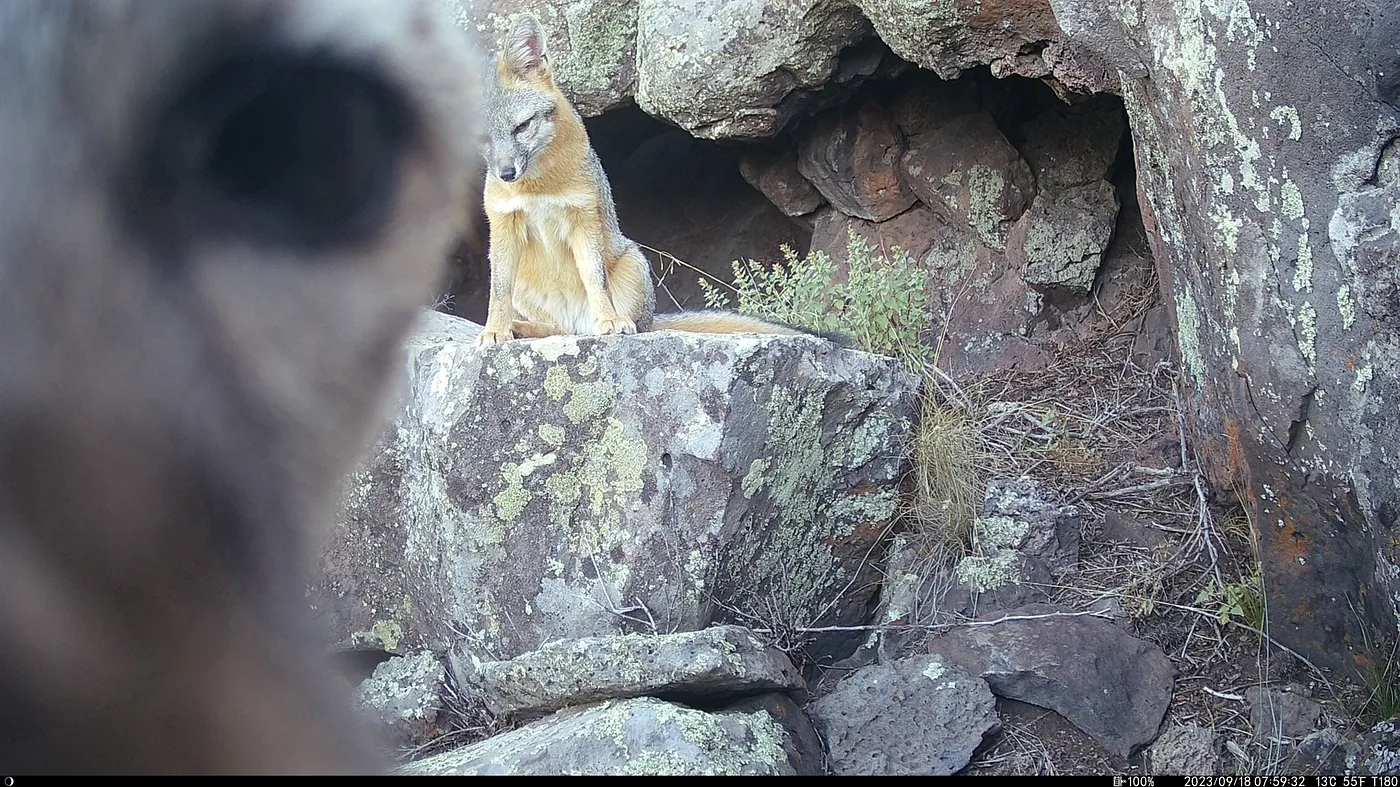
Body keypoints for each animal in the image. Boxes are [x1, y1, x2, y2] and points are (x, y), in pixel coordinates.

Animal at [481, 13, 812, 344]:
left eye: (522, 127)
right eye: (484, 139)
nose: (507, 174)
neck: (538, 188)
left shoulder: (584, 215)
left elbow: (595, 279)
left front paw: (610, 319)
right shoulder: (503, 223)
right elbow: (498, 290)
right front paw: (495, 330)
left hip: (634, 264)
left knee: (611, 325)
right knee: (558, 329)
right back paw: (521, 328)